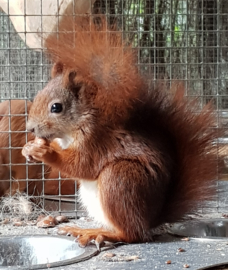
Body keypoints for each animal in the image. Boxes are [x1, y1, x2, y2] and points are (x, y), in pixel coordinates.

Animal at [21, 16, 219, 249]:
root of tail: (152, 219)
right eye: (38, 95)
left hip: (119, 179)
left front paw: (46, 152)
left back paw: (100, 234)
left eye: (56, 107)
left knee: (132, 234)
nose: (30, 128)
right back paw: (88, 229)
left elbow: (81, 165)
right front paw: (29, 148)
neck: (76, 126)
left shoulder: (96, 141)